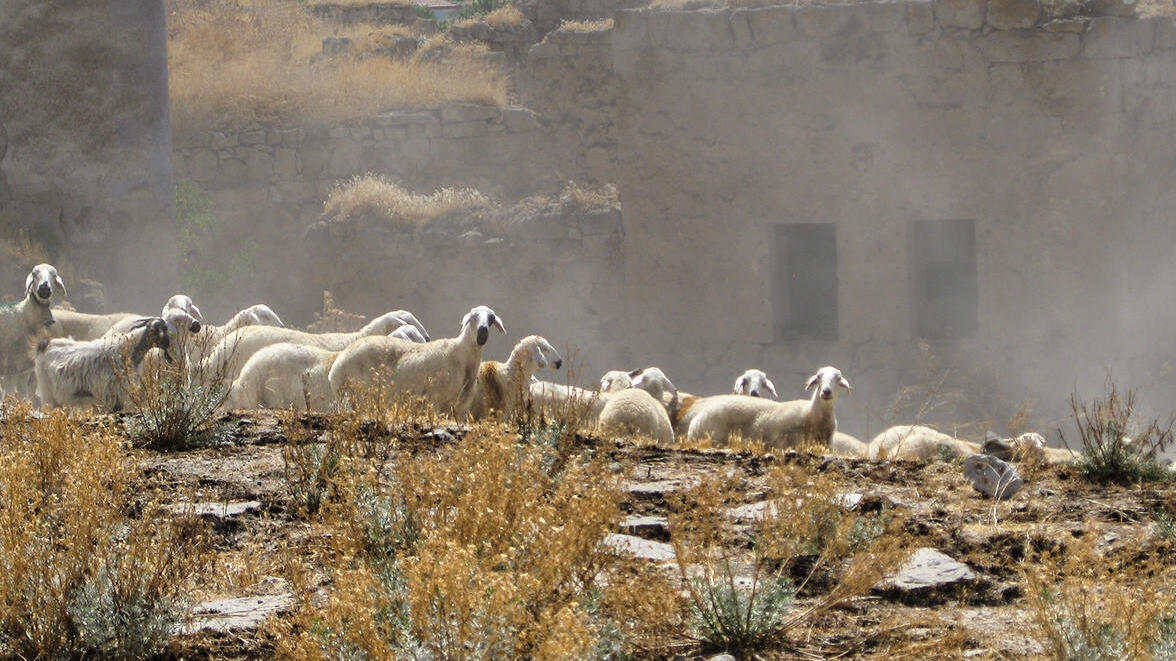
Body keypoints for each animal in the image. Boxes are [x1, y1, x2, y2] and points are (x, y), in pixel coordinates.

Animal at [0, 264, 61, 395]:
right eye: (34, 273)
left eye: (54, 275)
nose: (44, 287)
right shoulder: (11, 368)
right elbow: (9, 395)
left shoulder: (24, 371)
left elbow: (23, 397)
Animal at [34, 317, 172, 411]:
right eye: (161, 330)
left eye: (165, 328)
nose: (168, 343)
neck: (127, 351)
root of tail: (44, 345)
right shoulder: (113, 392)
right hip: (48, 392)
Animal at [328, 305, 504, 417]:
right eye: (473, 316)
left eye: (491, 318)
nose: (482, 334)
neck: (460, 353)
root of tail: (335, 369)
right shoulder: (439, 402)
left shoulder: (460, 408)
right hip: (356, 396)